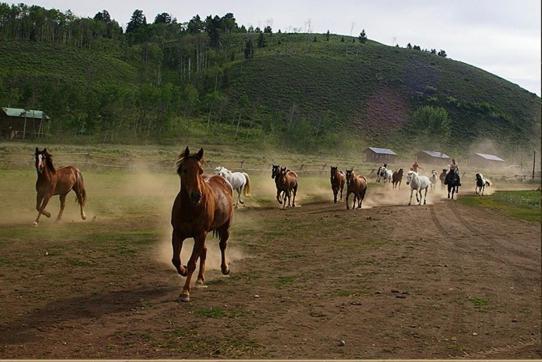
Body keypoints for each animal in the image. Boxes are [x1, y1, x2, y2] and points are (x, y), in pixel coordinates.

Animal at [172, 147, 234, 302]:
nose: (196, 195)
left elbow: (192, 262)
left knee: (222, 245)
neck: (190, 209)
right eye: (185, 170)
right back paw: (200, 278)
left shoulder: (200, 234)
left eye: (200, 170)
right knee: (204, 251)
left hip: (225, 227)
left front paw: (185, 292)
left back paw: (224, 268)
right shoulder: (177, 233)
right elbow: (176, 260)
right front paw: (183, 270)